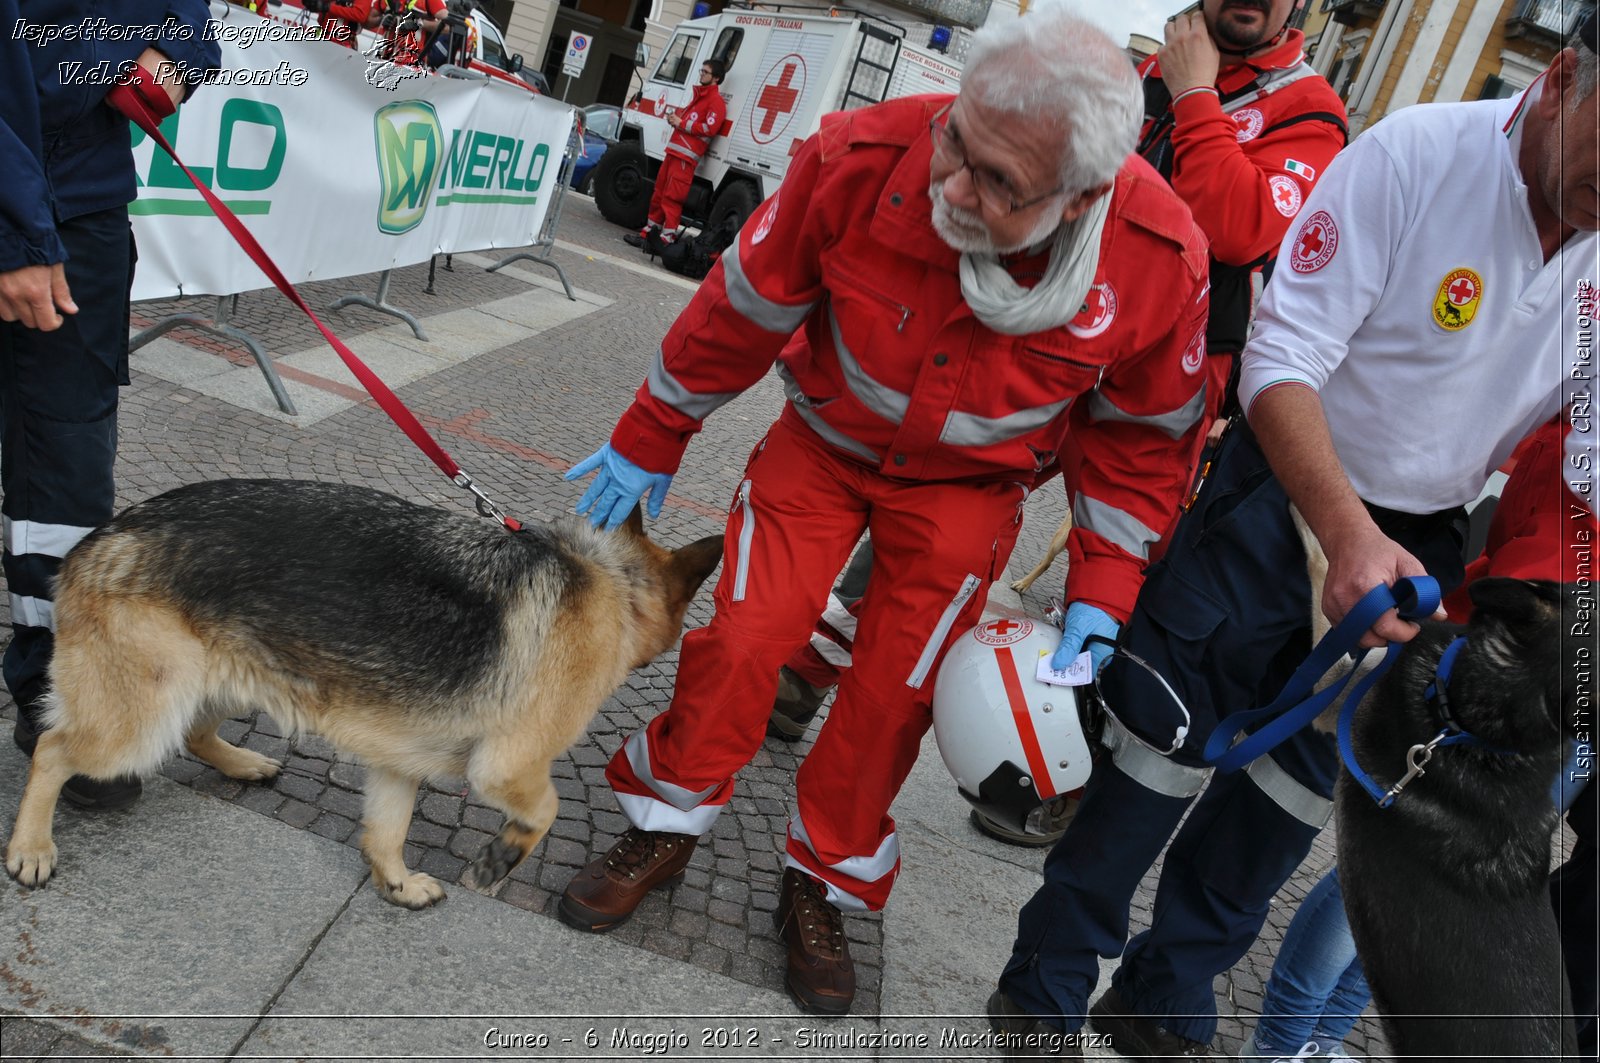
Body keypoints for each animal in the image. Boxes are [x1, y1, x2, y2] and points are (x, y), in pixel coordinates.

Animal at [6, 480, 720, 902]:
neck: (615, 585)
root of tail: (99, 538)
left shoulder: (397, 763)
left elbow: (385, 834)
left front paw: (397, 886)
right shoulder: (507, 768)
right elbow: (546, 811)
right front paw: (498, 862)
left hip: (229, 680)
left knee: (199, 731)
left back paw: (244, 763)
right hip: (141, 718)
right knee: (53, 749)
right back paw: (31, 847)